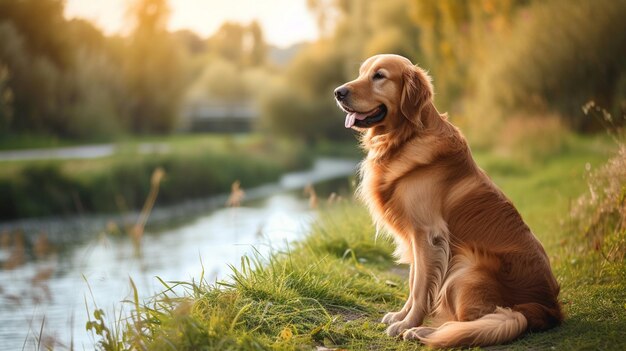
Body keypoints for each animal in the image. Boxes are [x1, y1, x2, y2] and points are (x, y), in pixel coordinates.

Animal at [332, 53, 560, 348]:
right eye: (361, 73)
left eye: (379, 76)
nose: (338, 92)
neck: (406, 138)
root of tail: (548, 308)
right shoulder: (416, 238)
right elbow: (413, 282)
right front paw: (401, 316)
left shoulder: (427, 234)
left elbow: (420, 288)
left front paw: (407, 323)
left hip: (467, 266)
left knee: (476, 322)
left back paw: (422, 332)